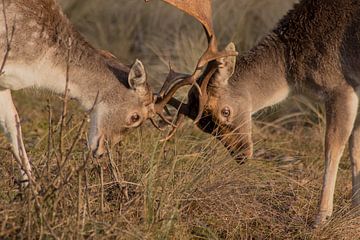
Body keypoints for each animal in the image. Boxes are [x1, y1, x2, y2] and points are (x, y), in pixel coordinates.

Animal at [146, 0, 360, 227]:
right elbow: (355, 148)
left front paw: (321, 217)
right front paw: (355, 210)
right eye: (204, 127)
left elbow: (333, 148)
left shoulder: (340, 87)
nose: (241, 155)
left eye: (226, 111)